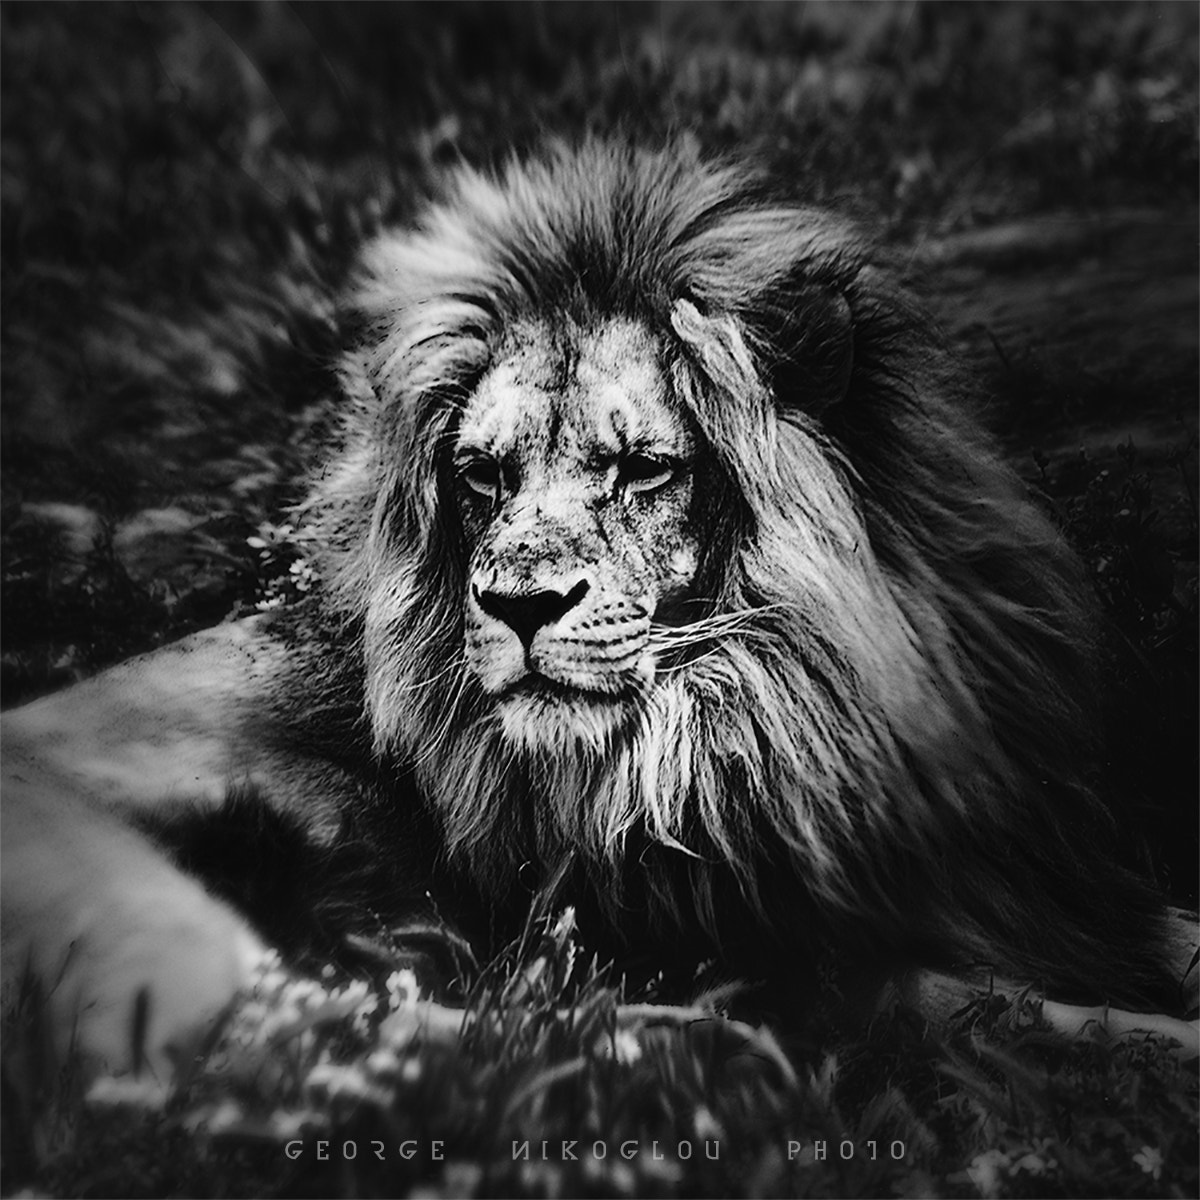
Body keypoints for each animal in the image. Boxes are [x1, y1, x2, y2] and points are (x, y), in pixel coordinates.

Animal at [2, 140, 1196, 1083]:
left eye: (640, 470)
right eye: (481, 476)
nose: (516, 606)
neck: (779, 705)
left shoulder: (1050, 870)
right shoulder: (786, 951)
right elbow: (1020, 1015)